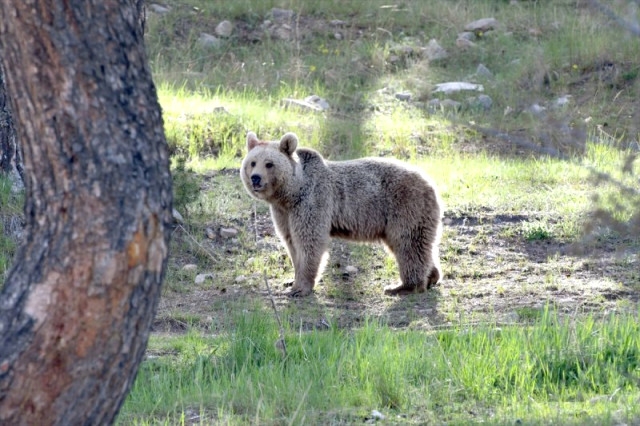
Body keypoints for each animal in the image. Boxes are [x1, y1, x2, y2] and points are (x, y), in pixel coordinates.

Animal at [238, 131, 442, 296]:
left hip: (406, 206)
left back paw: (402, 286)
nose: (256, 178)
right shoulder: (284, 213)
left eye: (269, 164)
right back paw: (432, 276)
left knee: (408, 244)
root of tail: (431, 183)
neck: (291, 194)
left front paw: (300, 288)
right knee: (419, 245)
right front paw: (291, 280)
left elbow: (309, 241)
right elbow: (291, 243)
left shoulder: (312, 202)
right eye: (252, 162)